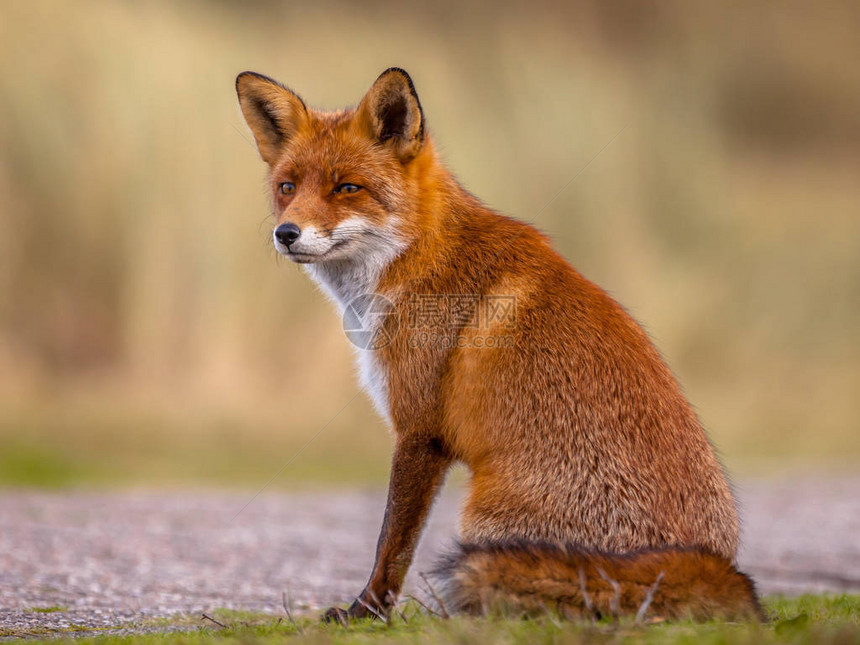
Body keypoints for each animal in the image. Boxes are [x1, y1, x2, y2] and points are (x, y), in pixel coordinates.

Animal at [235, 68, 760, 620]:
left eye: (347, 188)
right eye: (288, 187)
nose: (286, 232)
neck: (418, 256)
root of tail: (706, 563)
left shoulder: (420, 430)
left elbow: (391, 543)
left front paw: (367, 613)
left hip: (482, 519)